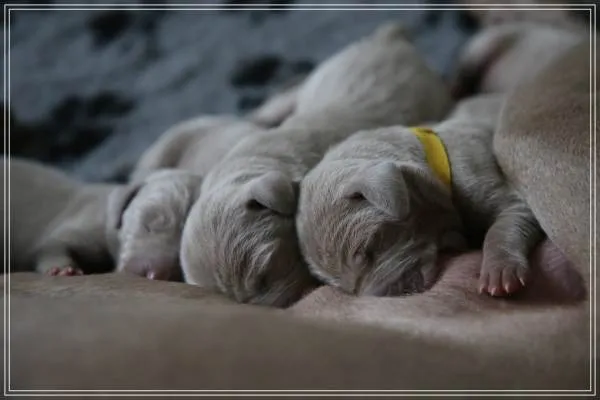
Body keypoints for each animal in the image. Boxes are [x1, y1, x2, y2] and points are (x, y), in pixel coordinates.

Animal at [297, 93, 544, 297]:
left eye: (369, 249)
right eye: (345, 288)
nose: (380, 297)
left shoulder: (490, 185)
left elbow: (502, 227)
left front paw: (500, 273)